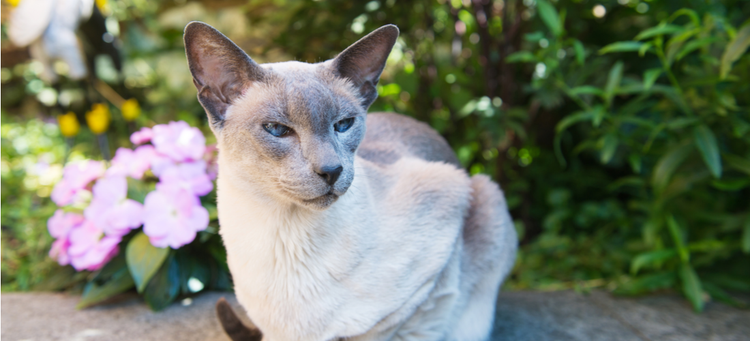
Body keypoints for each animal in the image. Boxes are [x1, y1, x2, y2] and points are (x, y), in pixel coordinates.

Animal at [185, 21, 520, 340]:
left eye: (344, 125)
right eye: (277, 130)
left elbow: (383, 325)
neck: (283, 231)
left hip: (487, 194)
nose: (331, 170)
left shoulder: (443, 221)